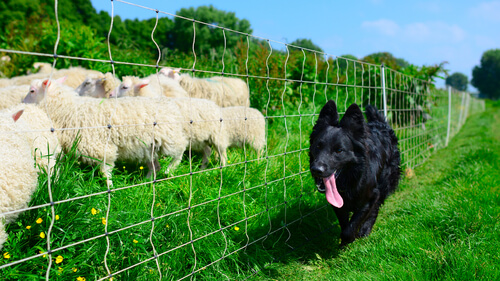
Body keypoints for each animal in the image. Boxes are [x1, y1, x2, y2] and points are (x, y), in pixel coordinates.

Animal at [23, 77, 189, 185]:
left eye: (32, 91)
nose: (22, 102)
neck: (65, 108)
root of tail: (170, 103)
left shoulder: (99, 148)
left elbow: (105, 170)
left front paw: (109, 187)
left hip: (170, 138)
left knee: (180, 150)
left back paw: (170, 170)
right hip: (149, 147)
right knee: (155, 165)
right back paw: (147, 180)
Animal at [310, 100, 400, 245]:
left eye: (339, 150)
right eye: (318, 146)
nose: (317, 170)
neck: (352, 177)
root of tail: (380, 124)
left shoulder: (372, 196)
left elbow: (353, 224)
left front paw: (351, 238)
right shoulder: (338, 203)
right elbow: (344, 223)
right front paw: (343, 244)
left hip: (385, 183)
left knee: (376, 208)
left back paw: (365, 231)